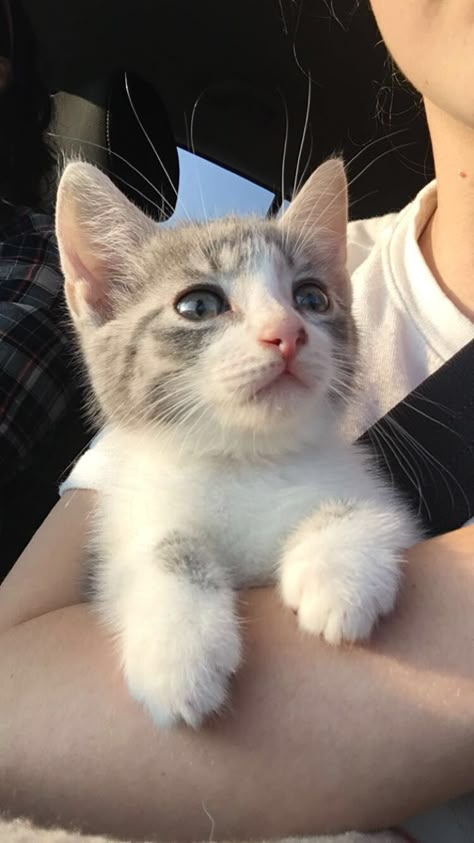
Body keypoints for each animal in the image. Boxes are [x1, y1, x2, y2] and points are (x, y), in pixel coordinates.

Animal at [56, 158, 418, 732]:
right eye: (198, 305)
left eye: (311, 298)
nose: (287, 332)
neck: (244, 460)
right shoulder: (122, 533)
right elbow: (157, 548)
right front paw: (178, 648)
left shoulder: (374, 494)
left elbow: (369, 508)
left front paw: (338, 572)